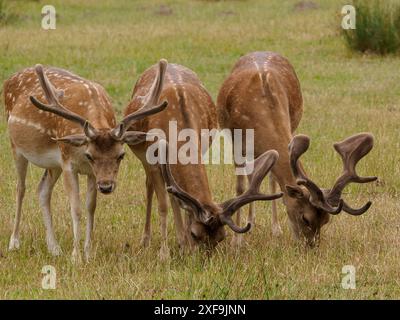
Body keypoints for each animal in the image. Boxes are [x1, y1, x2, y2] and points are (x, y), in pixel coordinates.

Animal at [3, 61, 166, 262]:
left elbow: (90, 207)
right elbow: (76, 208)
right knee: (20, 188)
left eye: (121, 155)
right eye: (90, 155)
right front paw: (76, 256)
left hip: (54, 163)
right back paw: (14, 242)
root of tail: (9, 80)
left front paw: (88, 253)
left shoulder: (90, 172)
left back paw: (54, 248)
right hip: (16, 146)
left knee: (42, 190)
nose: (106, 186)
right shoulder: (68, 163)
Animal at [123, 60, 282, 258]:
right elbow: (163, 205)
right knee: (149, 186)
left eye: (221, 237)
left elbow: (180, 199)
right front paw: (165, 254)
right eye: (195, 234)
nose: (203, 259)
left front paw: (182, 243)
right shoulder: (154, 159)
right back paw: (145, 240)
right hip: (143, 156)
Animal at [217, 52, 376, 248]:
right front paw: (237, 241)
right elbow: (240, 187)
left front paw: (273, 230)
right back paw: (250, 224)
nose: (311, 247)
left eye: (325, 221)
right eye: (305, 219)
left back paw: (274, 228)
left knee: (269, 178)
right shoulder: (235, 141)